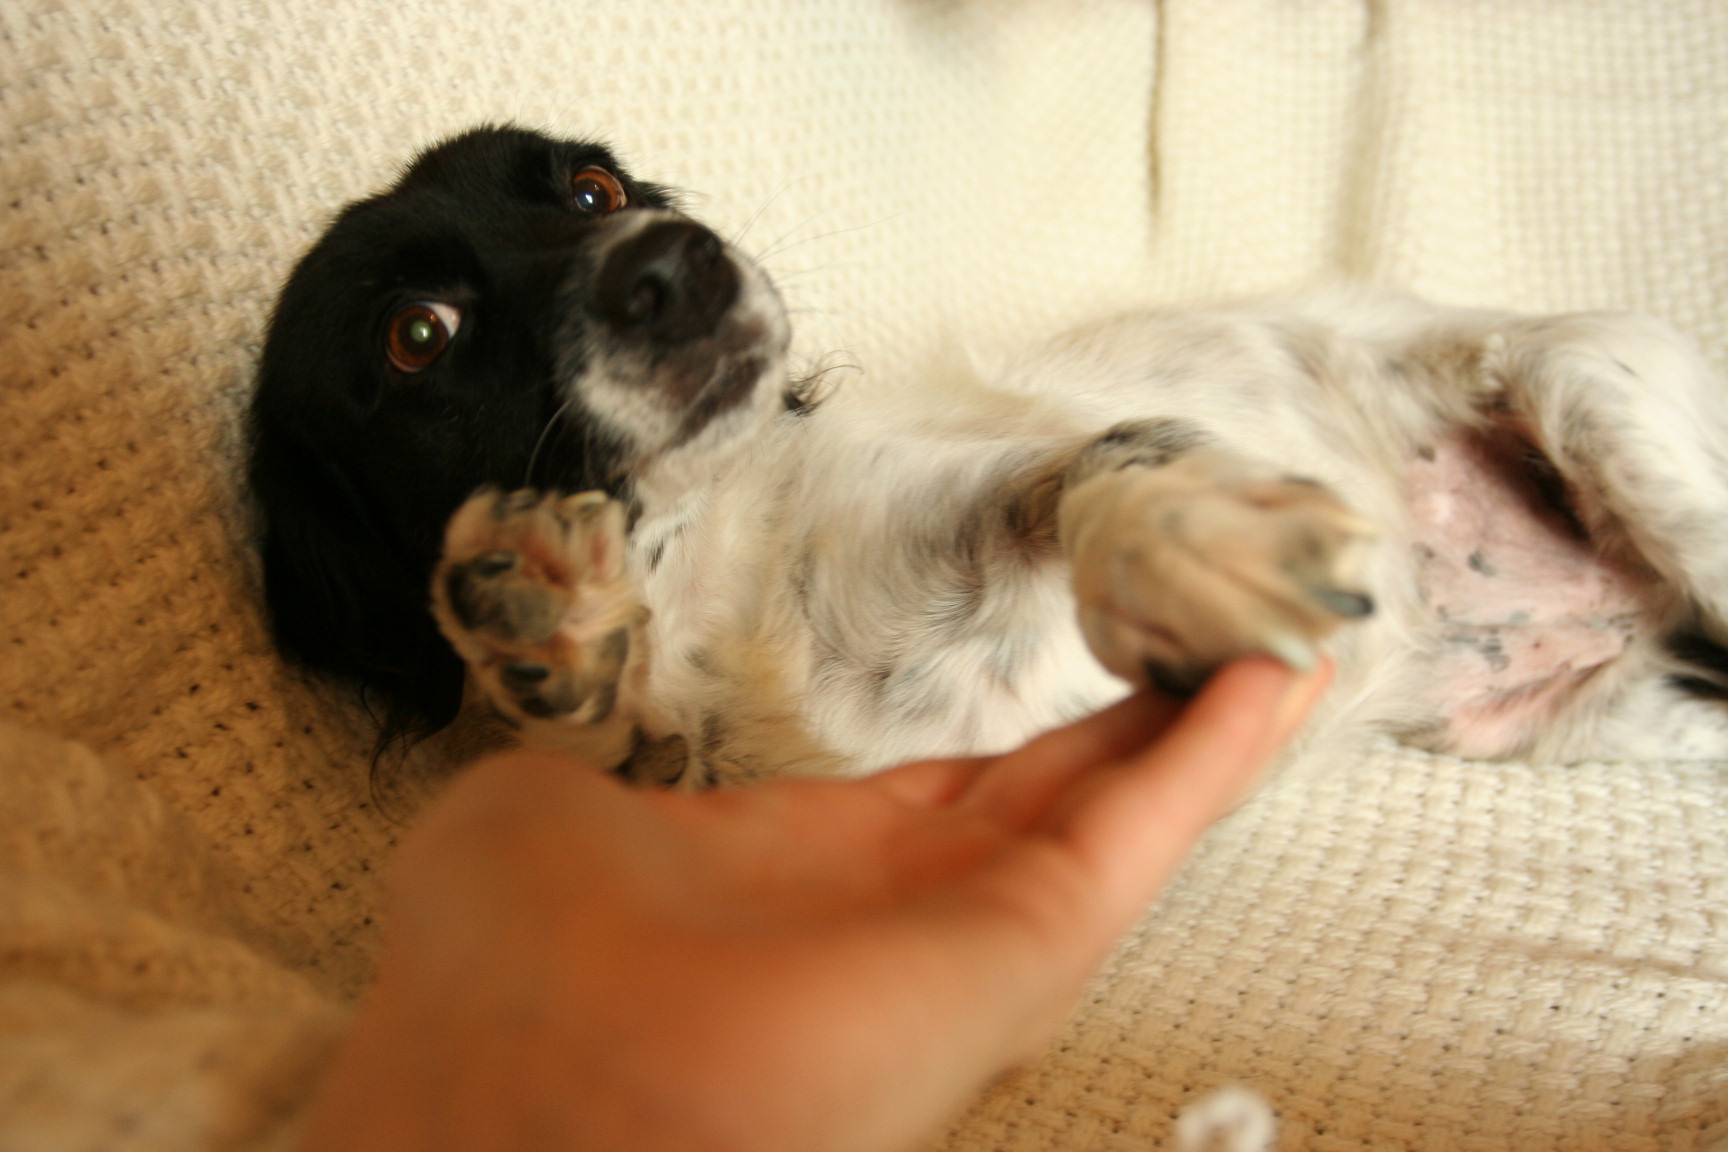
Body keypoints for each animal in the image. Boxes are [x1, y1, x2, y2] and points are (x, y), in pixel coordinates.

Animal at [247, 126, 1728, 784]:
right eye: (418, 334)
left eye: (592, 187)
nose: (680, 259)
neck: (727, 595)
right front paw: (541, 629)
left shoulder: (1022, 474)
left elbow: (1109, 467)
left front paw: (1200, 546)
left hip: (1591, 399)